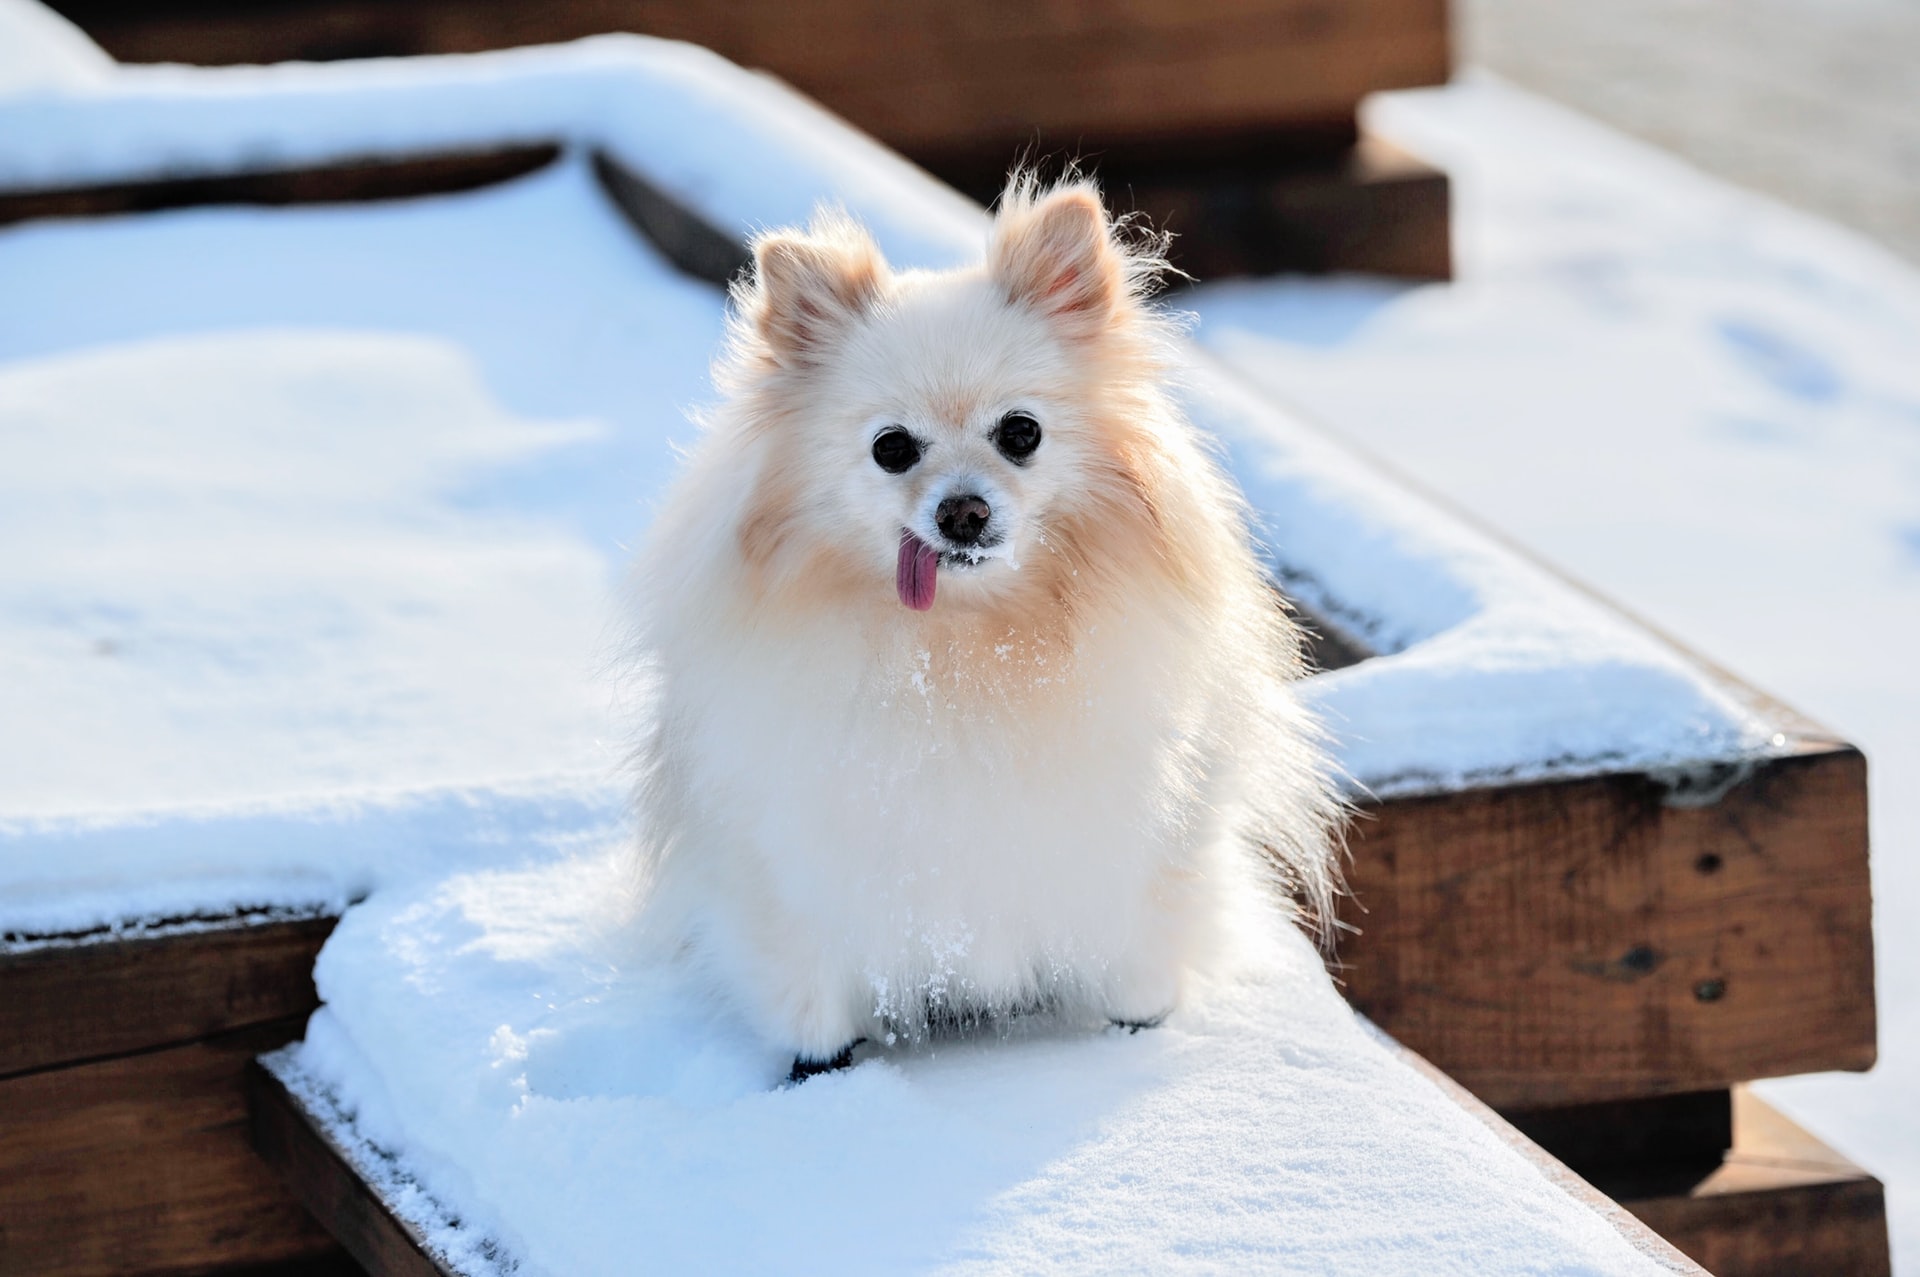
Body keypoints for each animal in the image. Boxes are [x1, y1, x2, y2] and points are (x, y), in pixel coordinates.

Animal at [625, 179, 1336, 1075]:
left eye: (1020, 432)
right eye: (892, 448)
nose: (963, 510)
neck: (968, 645)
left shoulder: (1147, 835)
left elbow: (1142, 945)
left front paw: (1137, 1023)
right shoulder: (787, 856)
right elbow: (808, 980)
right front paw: (820, 1062)